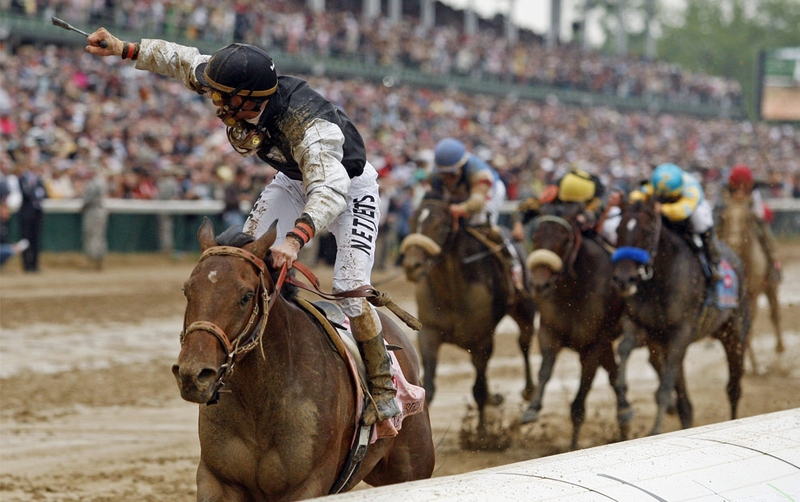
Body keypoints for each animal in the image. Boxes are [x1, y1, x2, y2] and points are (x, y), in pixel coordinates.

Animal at [173, 220, 434, 502]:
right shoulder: (216, 480)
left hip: (411, 467)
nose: (193, 374)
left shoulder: (308, 485)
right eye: (187, 290)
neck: (259, 404)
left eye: (246, 296)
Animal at [400, 196, 536, 436]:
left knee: (524, 341)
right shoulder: (429, 333)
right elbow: (429, 387)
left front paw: (481, 434)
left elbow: (478, 390)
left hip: (524, 309)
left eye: (441, 225)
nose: (412, 266)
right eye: (413, 220)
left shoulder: (482, 341)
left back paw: (528, 391)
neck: (451, 291)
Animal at [520, 202, 636, 450]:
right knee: (614, 374)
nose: (539, 285)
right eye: (535, 236)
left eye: (565, 240)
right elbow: (545, 370)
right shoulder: (549, 332)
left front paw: (574, 445)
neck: (573, 291)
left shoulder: (593, 344)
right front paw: (532, 409)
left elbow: (581, 397)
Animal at [612, 196, 752, 436]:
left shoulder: (681, 333)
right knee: (686, 403)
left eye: (647, 231)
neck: (660, 280)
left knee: (734, 388)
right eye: (618, 229)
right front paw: (623, 409)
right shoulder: (640, 327)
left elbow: (664, 388)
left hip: (734, 334)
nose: (623, 279)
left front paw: (655, 430)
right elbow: (623, 349)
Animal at [716, 194, 784, 370]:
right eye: (725, 217)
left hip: (771, 287)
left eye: (747, 219)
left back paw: (780, 347)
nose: (734, 242)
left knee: (775, 313)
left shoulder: (753, 294)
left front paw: (753, 365)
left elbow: (750, 325)